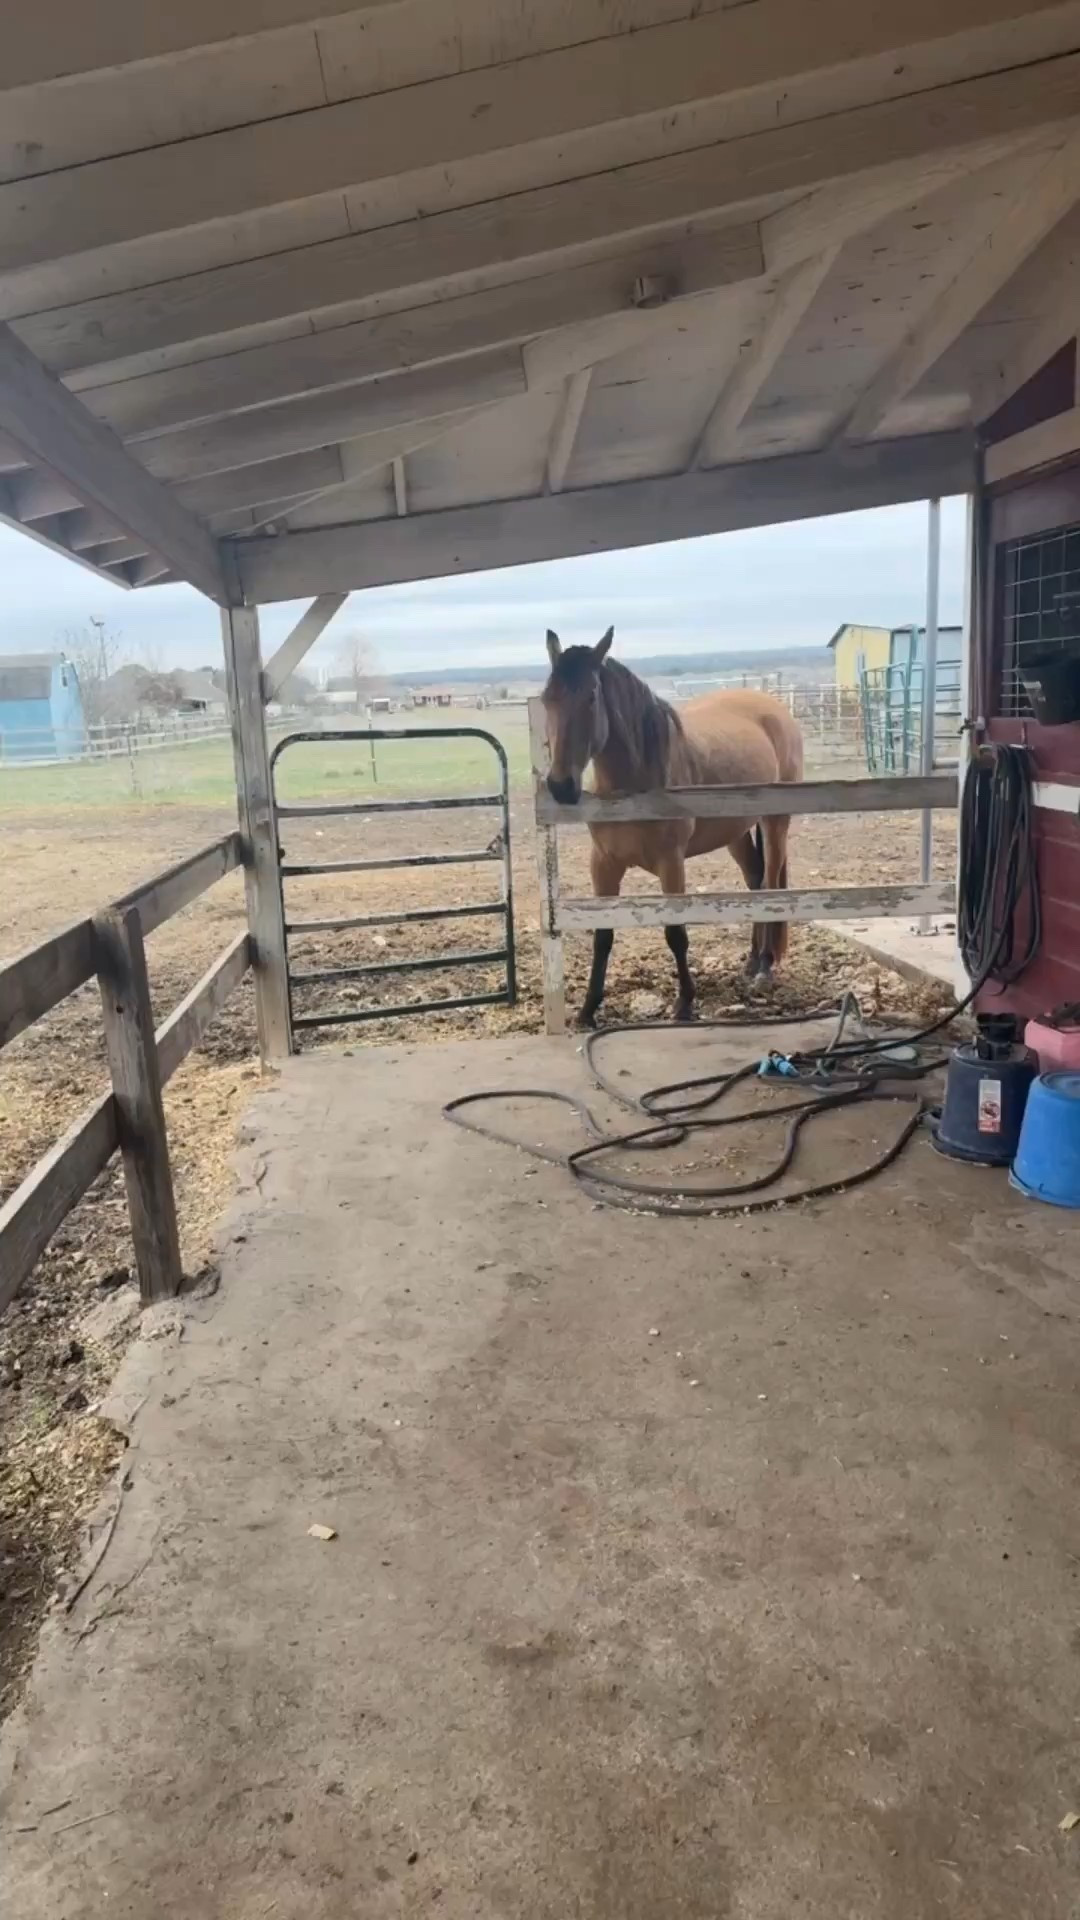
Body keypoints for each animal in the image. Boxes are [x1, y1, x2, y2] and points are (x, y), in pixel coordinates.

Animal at [541, 627, 804, 1027]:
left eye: (591, 697)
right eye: (547, 699)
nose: (561, 786)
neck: (637, 785)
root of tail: (773, 708)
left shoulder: (671, 863)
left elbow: (675, 932)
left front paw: (685, 1004)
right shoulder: (603, 864)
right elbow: (603, 935)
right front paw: (587, 1011)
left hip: (775, 823)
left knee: (772, 886)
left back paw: (764, 966)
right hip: (736, 832)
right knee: (755, 881)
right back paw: (751, 960)